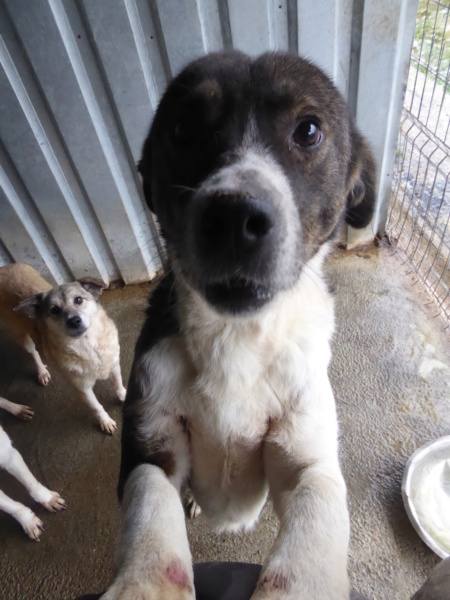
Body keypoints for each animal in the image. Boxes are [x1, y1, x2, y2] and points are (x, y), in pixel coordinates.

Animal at [0, 264, 126, 434]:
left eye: (78, 300)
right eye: (54, 310)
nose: (74, 321)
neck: (88, 345)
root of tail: (4, 268)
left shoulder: (113, 365)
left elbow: (118, 385)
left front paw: (124, 395)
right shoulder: (83, 389)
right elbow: (96, 407)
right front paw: (105, 421)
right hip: (21, 336)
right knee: (33, 352)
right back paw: (42, 372)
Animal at [103, 52, 374, 600]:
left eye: (308, 130)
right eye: (184, 128)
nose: (233, 219)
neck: (237, 338)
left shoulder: (308, 458)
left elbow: (314, 527)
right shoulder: (150, 445)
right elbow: (150, 510)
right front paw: (143, 583)